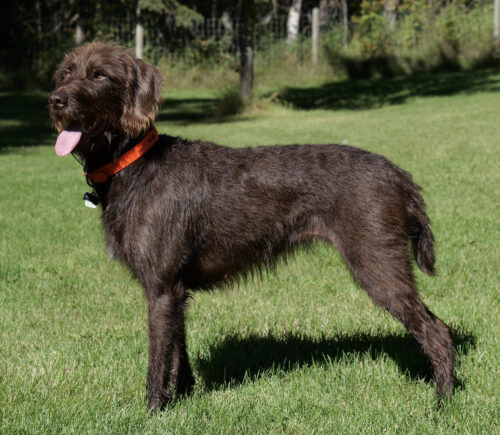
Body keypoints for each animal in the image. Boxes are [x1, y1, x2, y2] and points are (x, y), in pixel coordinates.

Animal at [49, 42, 454, 410]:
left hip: (377, 263)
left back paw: (443, 400)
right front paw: (184, 397)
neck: (133, 164)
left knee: (437, 331)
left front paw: (152, 413)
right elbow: (179, 351)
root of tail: (401, 175)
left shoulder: (160, 289)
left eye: (100, 75)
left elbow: (158, 359)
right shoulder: (175, 290)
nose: (55, 100)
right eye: (66, 72)